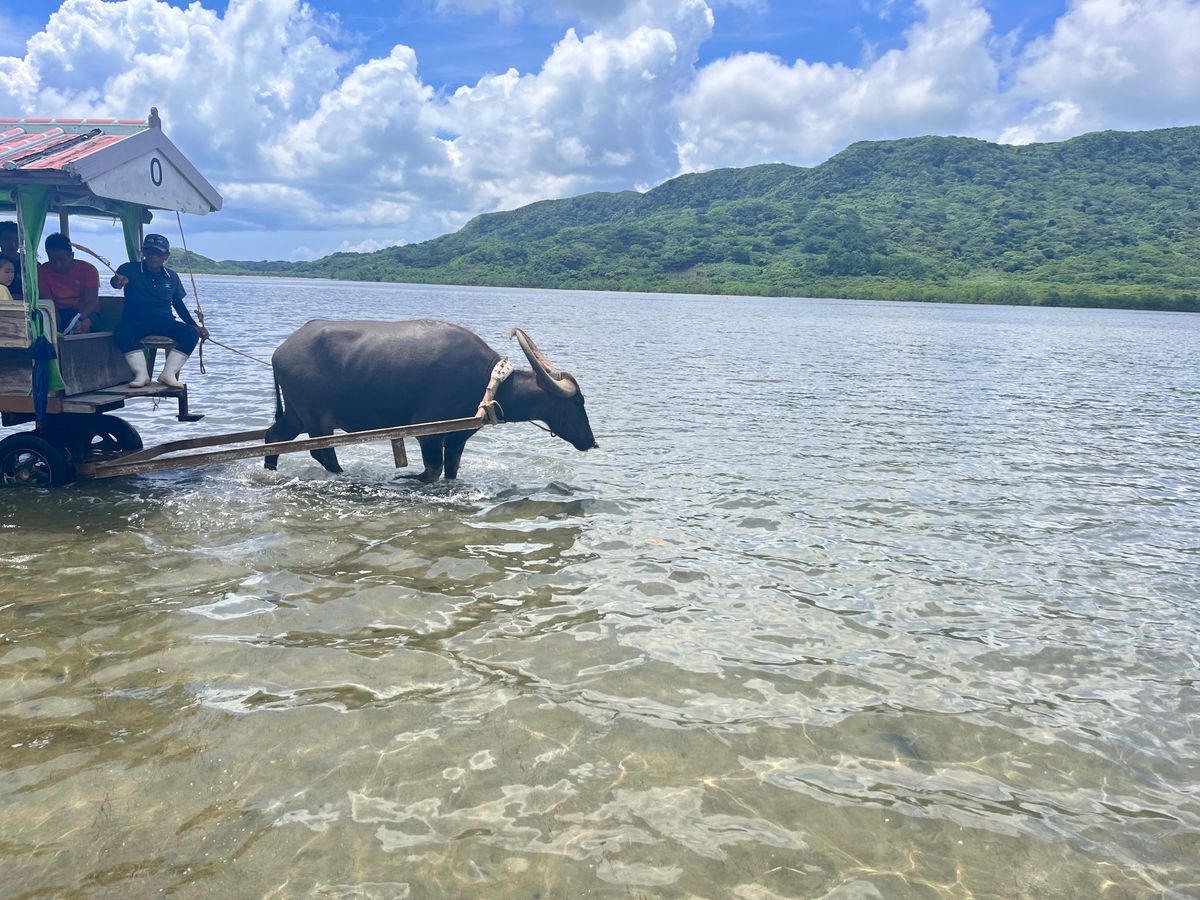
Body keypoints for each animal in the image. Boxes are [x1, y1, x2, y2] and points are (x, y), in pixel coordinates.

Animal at [264, 319, 597, 481]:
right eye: (577, 403)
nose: (591, 442)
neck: (487, 384)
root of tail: (281, 351)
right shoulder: (429, 432)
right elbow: (431, 472)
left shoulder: (457, 438)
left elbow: (451, 470)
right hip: (316, 417)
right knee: (322, 453)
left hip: (297, 414)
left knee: (274, 437)